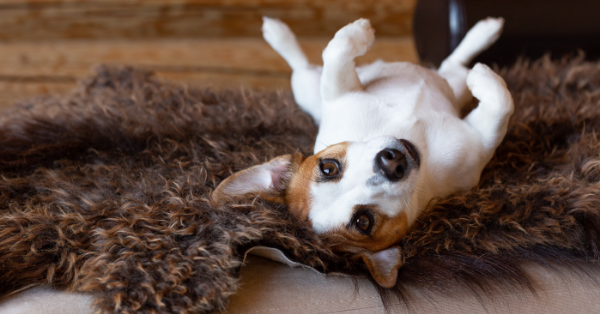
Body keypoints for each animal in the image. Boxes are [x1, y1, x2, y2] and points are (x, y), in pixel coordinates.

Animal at [213, 16, 512, 288]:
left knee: (452, 66)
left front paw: (356, 32)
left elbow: (336, 50)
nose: (391, 164)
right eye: (363, 222)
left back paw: (484, 31)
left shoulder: (339, 93)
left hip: (448, 86)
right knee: (301, 65)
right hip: (306, 89)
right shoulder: (482, 141)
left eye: (328, 167)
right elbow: (502, 106)